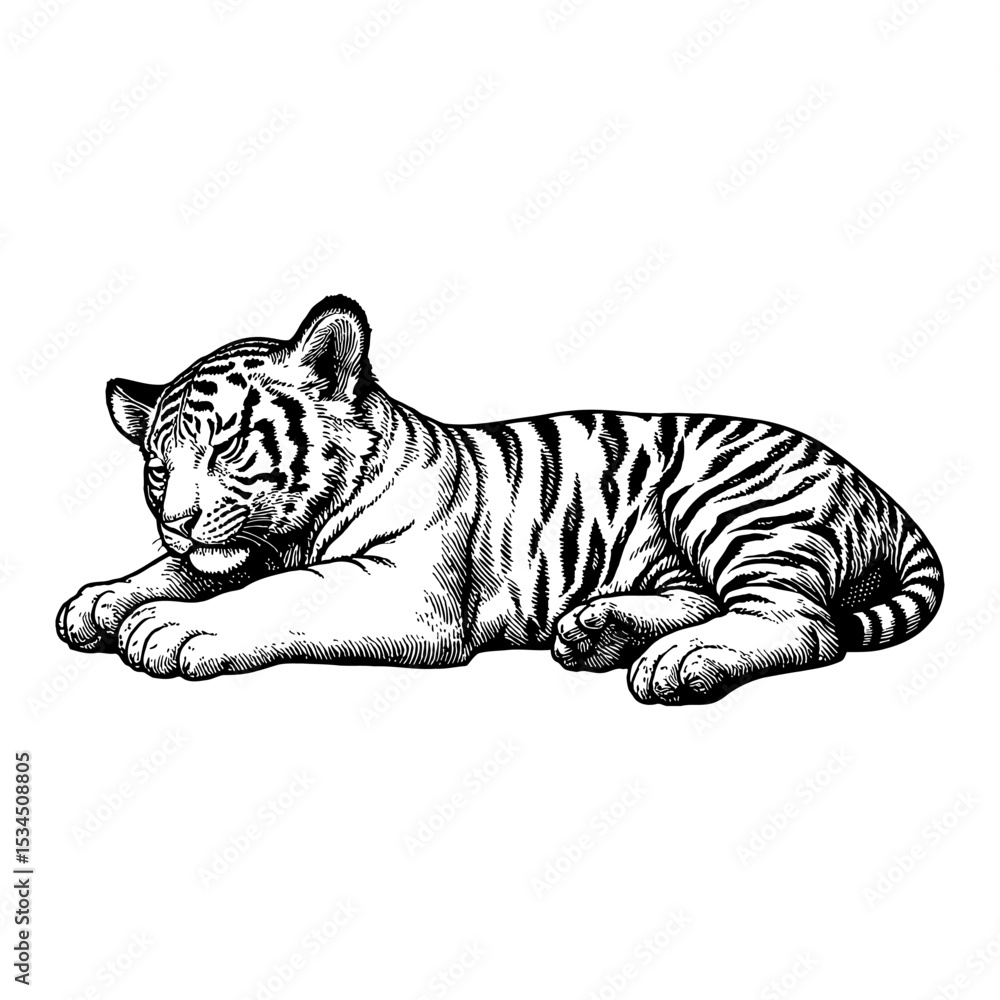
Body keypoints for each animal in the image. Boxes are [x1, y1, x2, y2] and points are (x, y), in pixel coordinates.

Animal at [56, 295, 944, 705]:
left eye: (229, 447)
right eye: (159, 470)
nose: (176, 519)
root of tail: (870, 484)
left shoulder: (404, 587)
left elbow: (288, 593)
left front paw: (170, 627)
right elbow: (182, 572)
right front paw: (101, 601)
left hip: (731, 501)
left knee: (805, 625)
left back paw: (680, 663)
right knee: (707, 599)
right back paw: (598, 630)